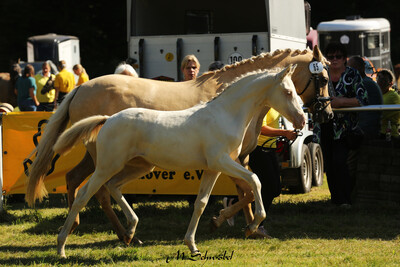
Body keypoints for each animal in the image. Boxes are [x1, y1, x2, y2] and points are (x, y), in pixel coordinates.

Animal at [24, 45, 332, 245]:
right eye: (323, 78)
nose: (320, 115)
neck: (226, 109)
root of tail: (79, 88)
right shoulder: (226, 160)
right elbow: (251, 185)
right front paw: (246, 224)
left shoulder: (231, 160)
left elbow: (231, 194)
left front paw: (244, 227)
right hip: (105, 161)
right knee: (91, 189)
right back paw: (99, 235)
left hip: (134, 164)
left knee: (86, 182)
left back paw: (116, 231)